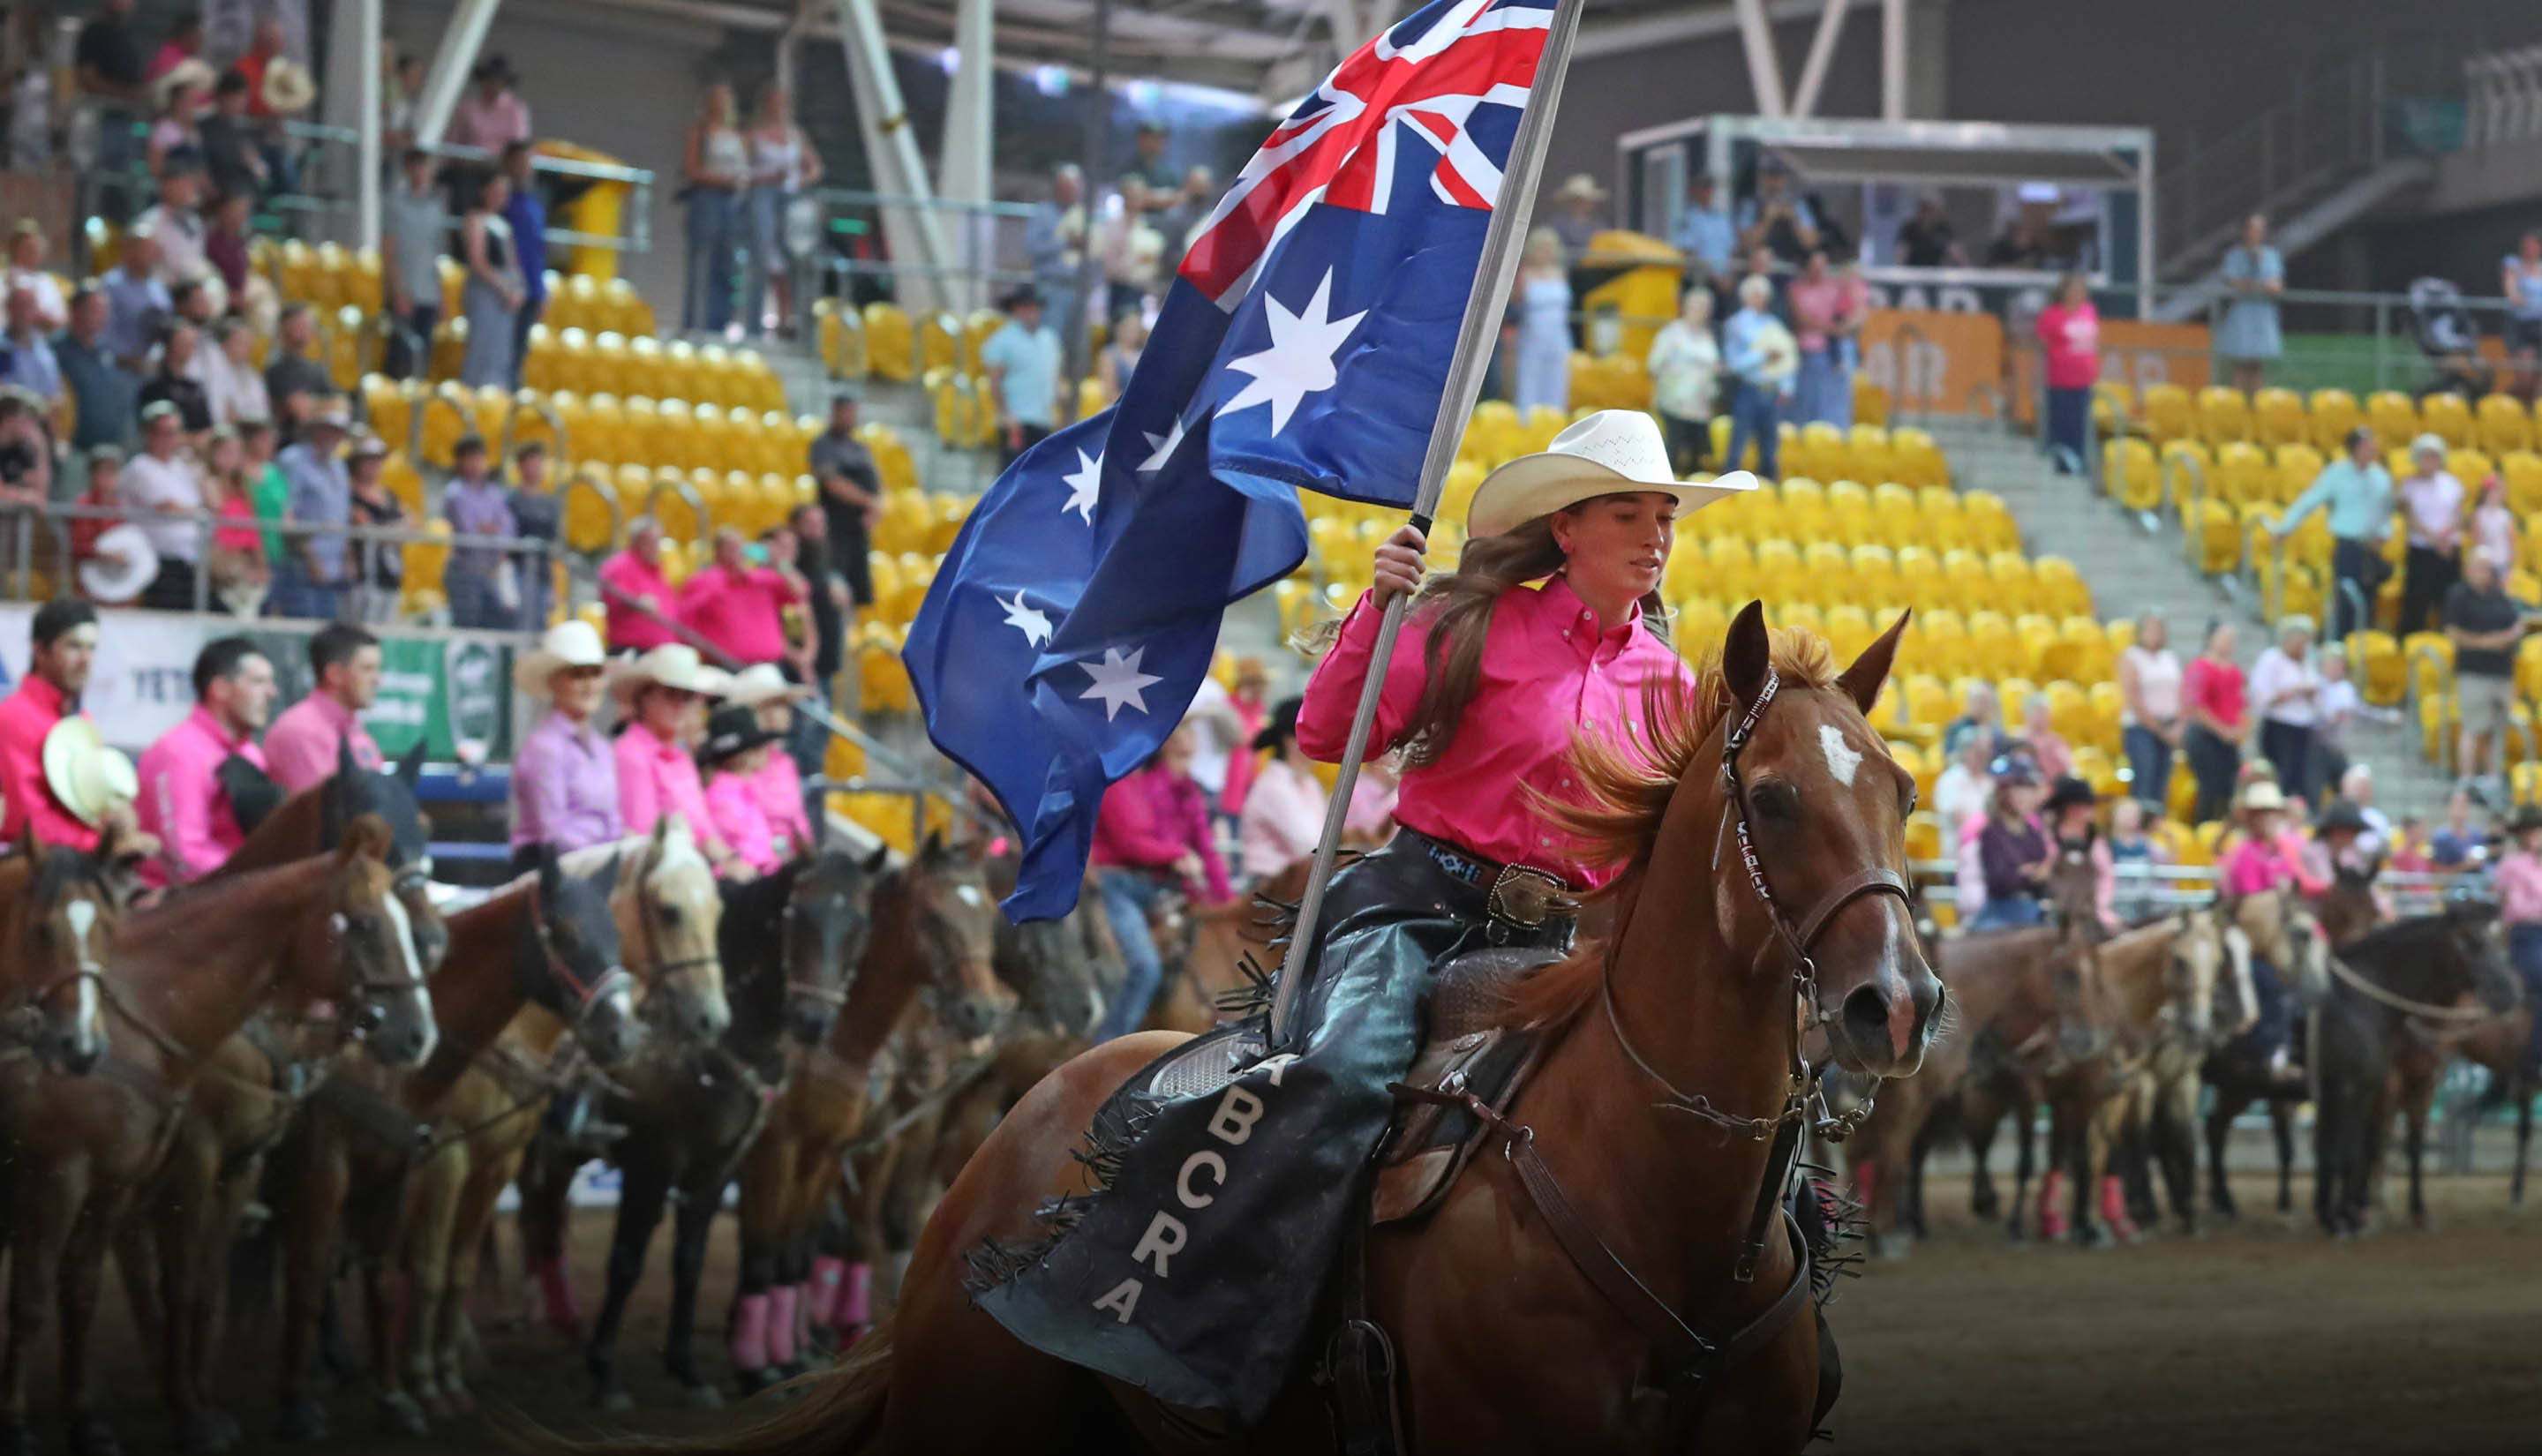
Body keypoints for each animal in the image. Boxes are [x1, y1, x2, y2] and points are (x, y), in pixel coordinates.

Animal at [0, 818, 429, 1453]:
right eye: (367, 923)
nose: (418, 1035)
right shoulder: (80, 1174)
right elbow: (51, 1299)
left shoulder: (175, 1175)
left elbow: (167, 1289)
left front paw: (155, 1412)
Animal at [579, 838, 894, 1413]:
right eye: (794, 914)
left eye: (861, 922)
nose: (812, 1021)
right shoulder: (658, 1159)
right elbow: (631, 1260)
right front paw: (607, 1372)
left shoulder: (729, 1162)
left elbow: (697, 1258)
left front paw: (692, 1369)